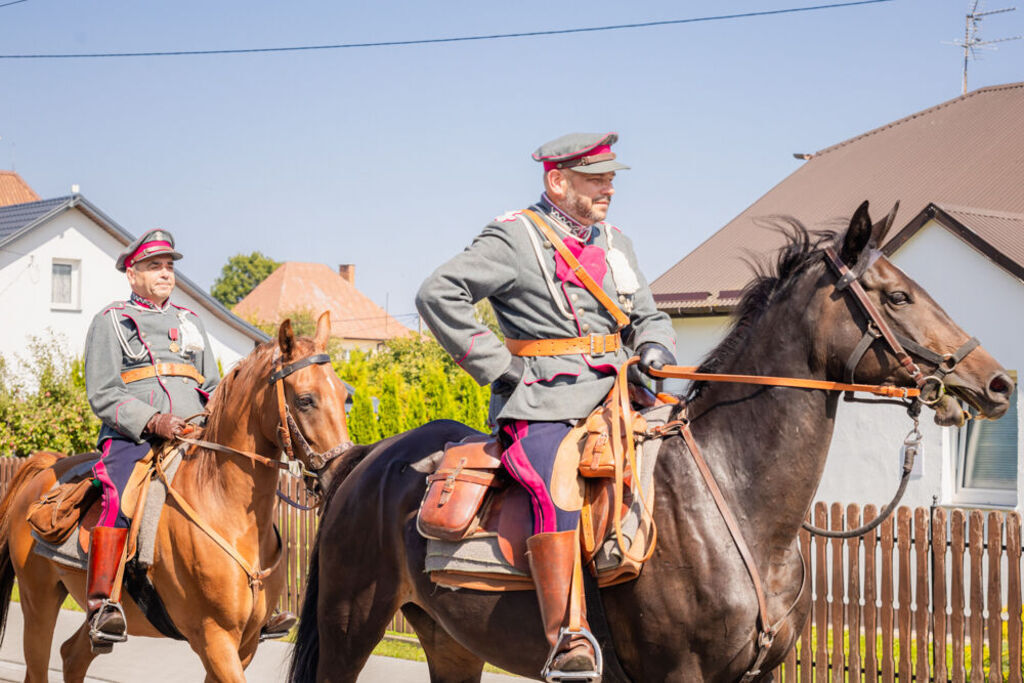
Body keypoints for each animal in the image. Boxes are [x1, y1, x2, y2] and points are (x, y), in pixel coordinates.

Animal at [0, 313, 352, 679]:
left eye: (344, 395)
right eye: (305, 399)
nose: (339, 471)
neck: (225, 506)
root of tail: (46, 468)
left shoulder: (245, 645)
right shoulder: (214, 639)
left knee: (73, 656)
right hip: (38, 602)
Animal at [290, 204, 1015, 683]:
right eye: (897, 296)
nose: (996, 381)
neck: (736, 497)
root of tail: (370, 460)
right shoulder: (679, 676)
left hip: (451, 642)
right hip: (351, 627)